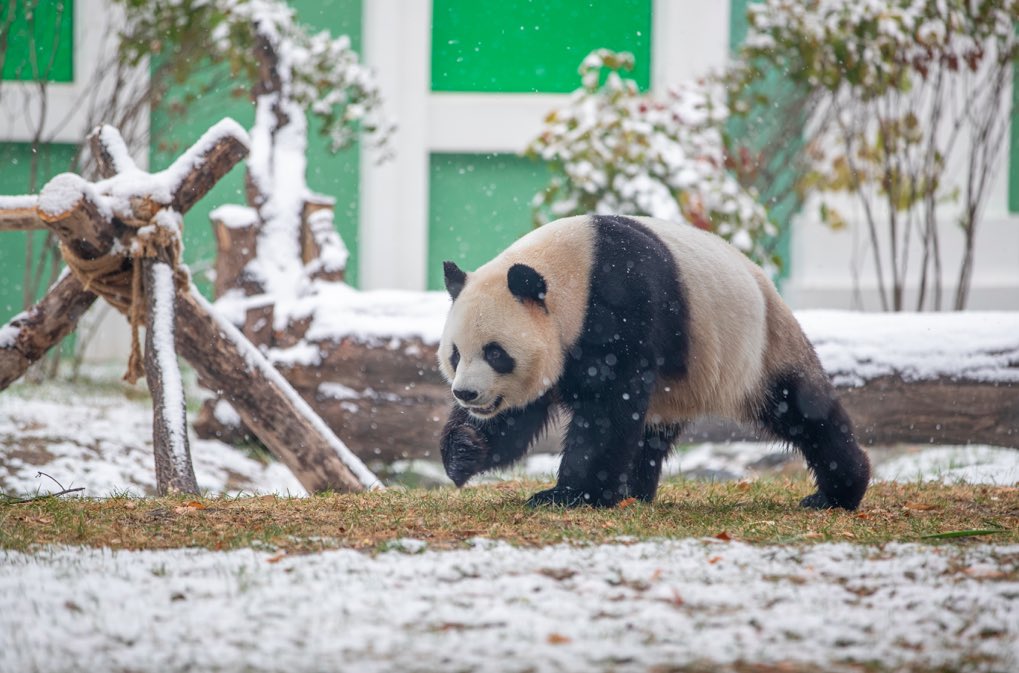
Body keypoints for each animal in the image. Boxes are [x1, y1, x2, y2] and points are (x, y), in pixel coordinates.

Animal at [437, 214, 870, 510]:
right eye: (456, 353)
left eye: (496, 353)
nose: (466, 393)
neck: (572, 274)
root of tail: (766, 282)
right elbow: (518, 417)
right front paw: (465, 448)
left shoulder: (620, 303)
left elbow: (607, 407)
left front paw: (568, 494)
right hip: (681, 383)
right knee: (650, 431)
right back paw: (632, 492)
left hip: (757, 348)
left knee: (801, 408)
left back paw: (838, 492)